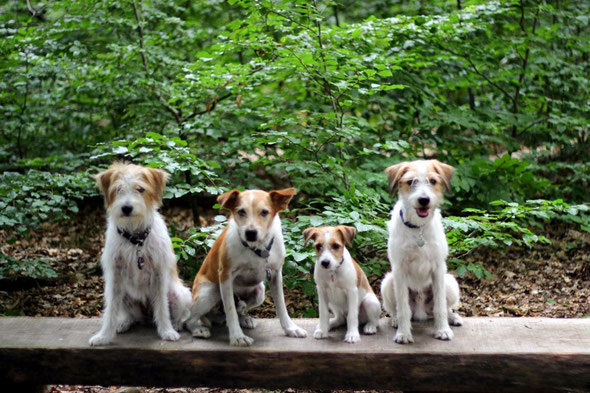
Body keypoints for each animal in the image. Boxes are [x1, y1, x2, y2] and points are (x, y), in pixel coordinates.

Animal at [90, 161, 192, 344]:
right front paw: (104, 336)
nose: (126, 208)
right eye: (118, 189)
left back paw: (175, 324)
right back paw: (123, 322)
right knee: (130, 315)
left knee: (179, 314)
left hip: (179, 294)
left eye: (140, 189)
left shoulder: (159, 274)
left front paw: (166, 331)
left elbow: (162, 307)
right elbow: (110, 310)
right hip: (124, 294)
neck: (135, 239)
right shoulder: (115, 276)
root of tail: (147, 317)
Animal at [187, 188, 310, 344]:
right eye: (241, 211)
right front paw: (237, 337)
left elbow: (281, 305)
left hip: (260, 292)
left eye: (264, 212)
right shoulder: (225, 276)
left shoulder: (275, 274)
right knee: (190, 318)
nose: (250, 233)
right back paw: (198, 329)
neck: (257, 248)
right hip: (209, 292)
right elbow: (230, 310)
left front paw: (290, 328)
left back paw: (244, 317)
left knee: (239, 308)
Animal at [382, 159, 464, 344]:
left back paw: (452, 318)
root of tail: (421, 311)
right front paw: (404, 333)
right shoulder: (399, 269)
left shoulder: (438, 268)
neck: (418, 228)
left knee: (445, 307)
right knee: (395, 309)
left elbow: (440, 306)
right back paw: (395, 320)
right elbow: (403, 307)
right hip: (388, 283)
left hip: (450, 283)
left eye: (432, 181)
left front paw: (443, 330)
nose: (424, 200)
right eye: (410, 182)